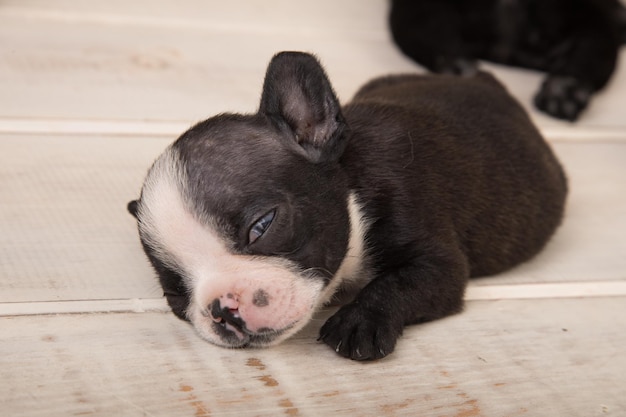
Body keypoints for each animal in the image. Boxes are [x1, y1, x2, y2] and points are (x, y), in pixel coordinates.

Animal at [128, 51, 564, 358]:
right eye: (175, 295)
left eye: (261, 226)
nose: (223, 309)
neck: (352, 188)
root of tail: (486, 80)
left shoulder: (437, 260)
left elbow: (399, 282)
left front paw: (360, 321)